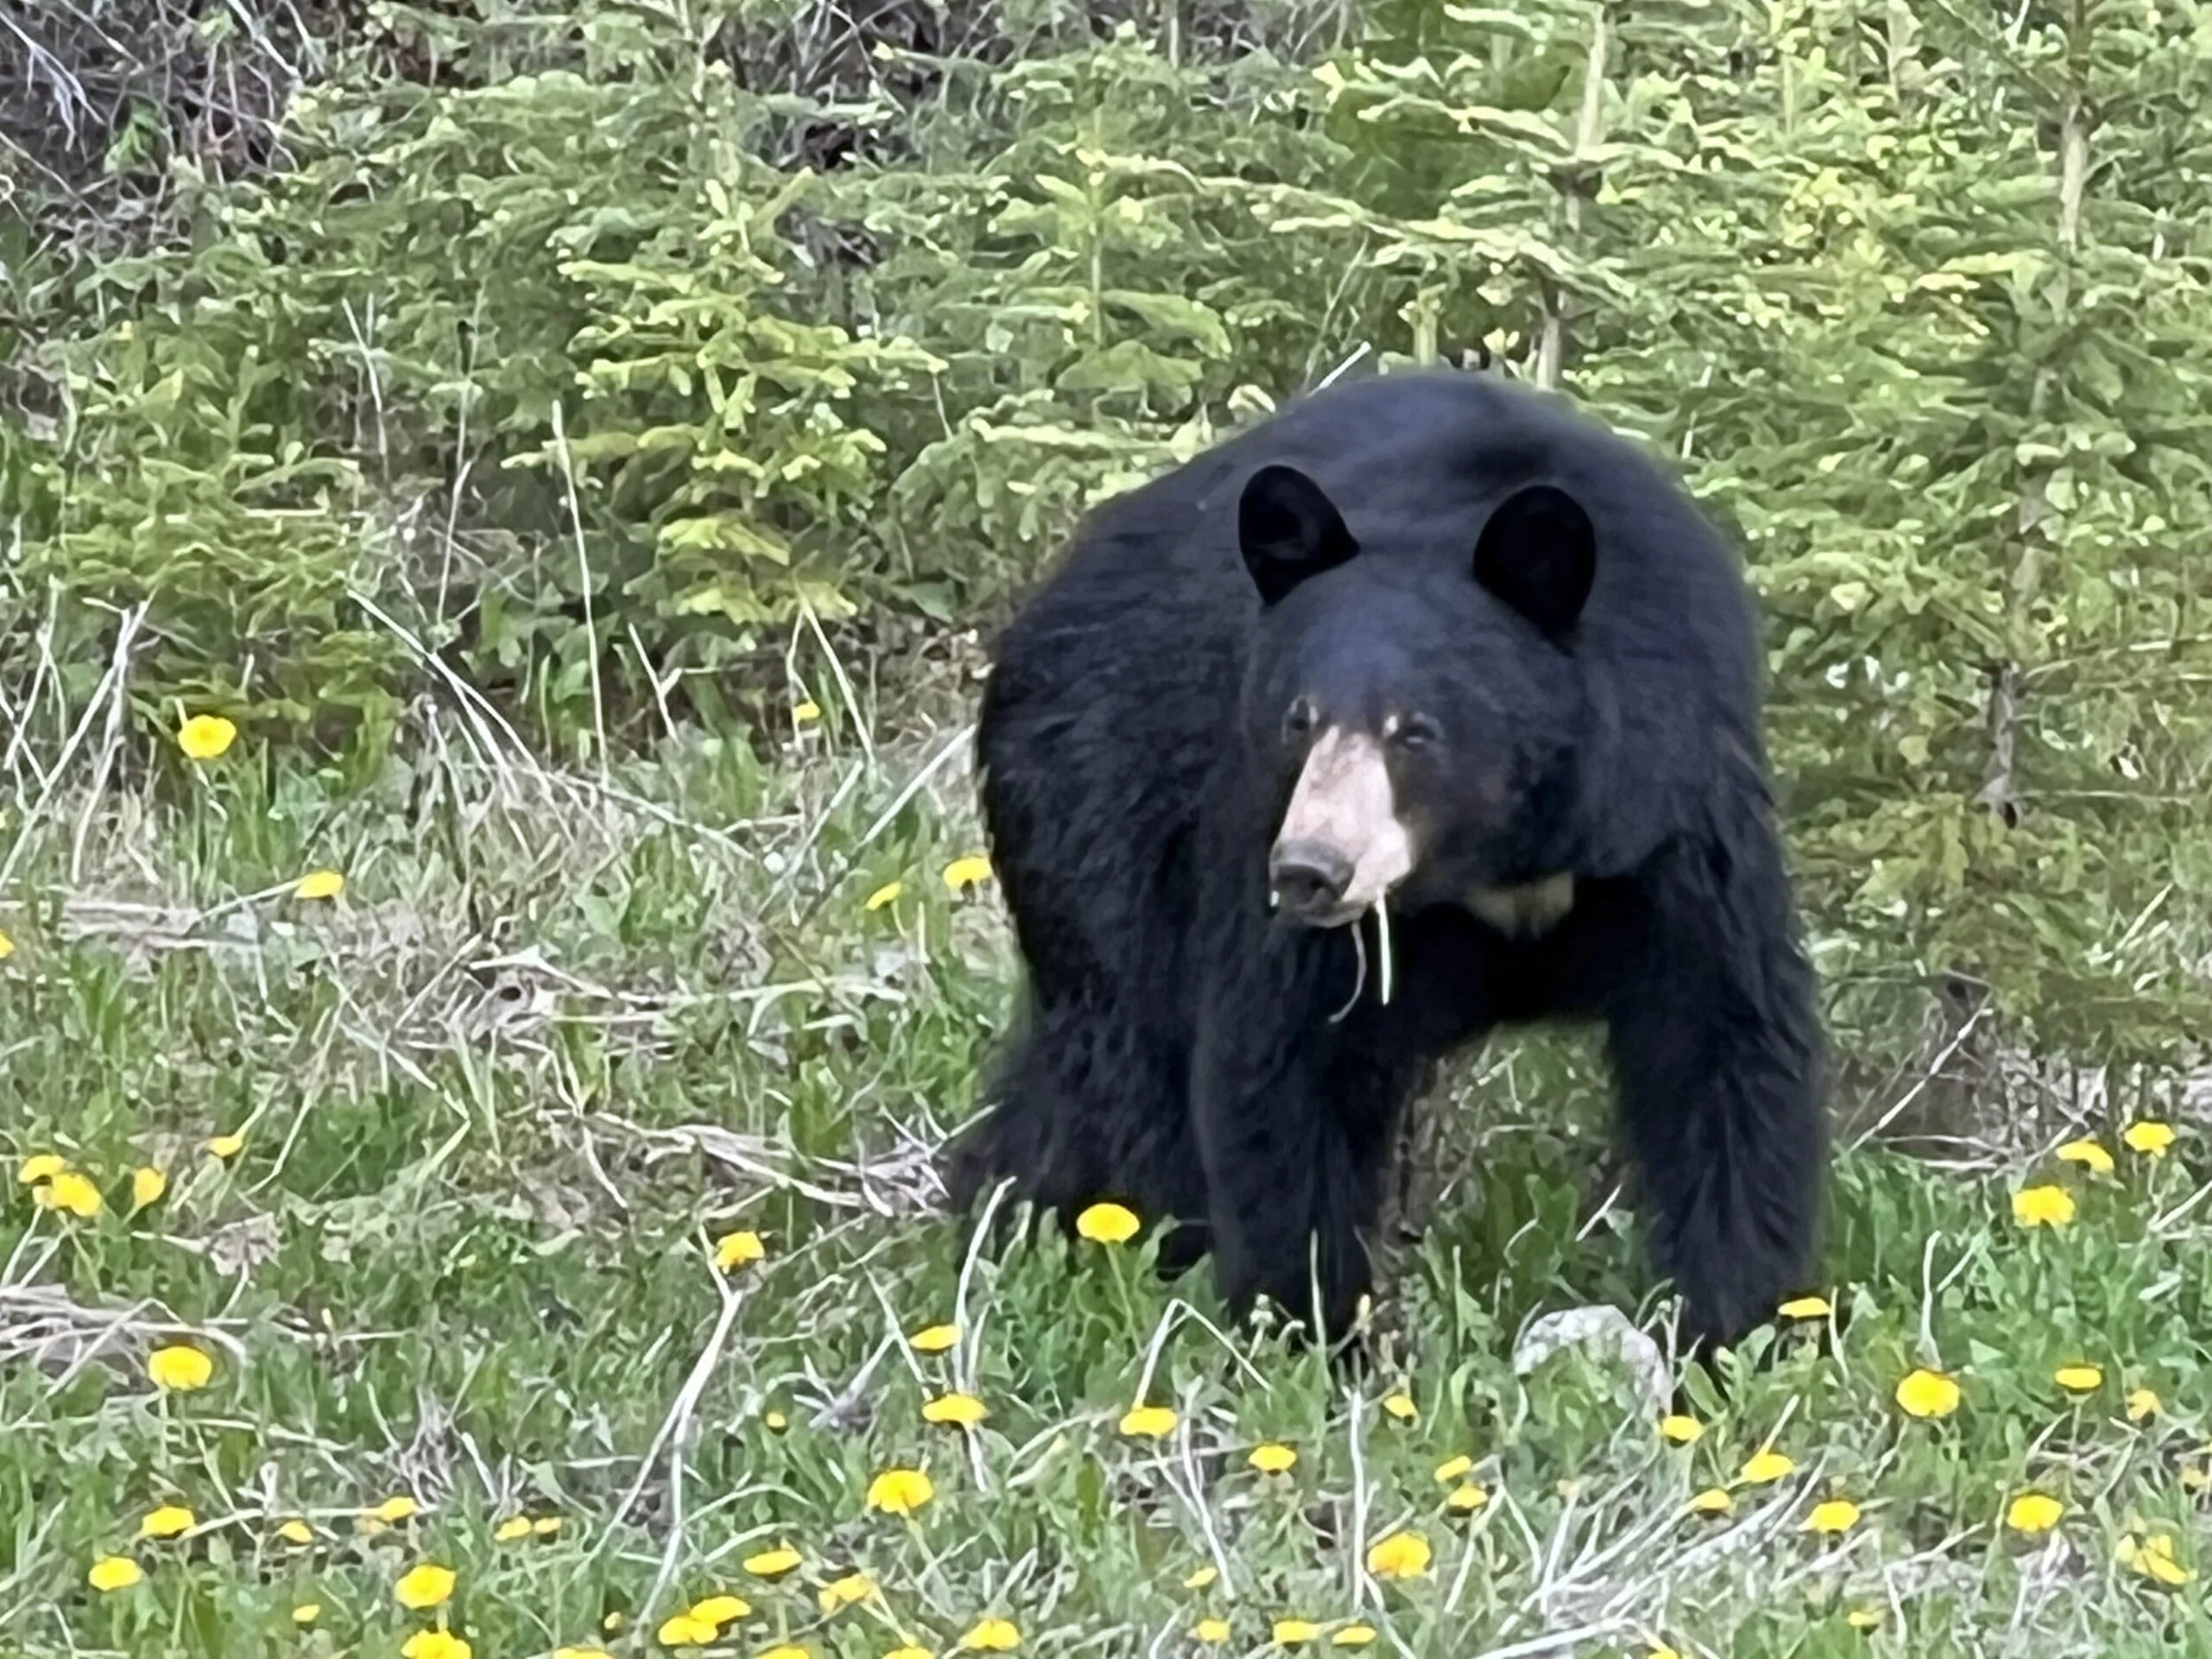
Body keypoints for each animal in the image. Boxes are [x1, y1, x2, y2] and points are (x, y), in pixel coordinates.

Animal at [943, 366, 1825, 1357]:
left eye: (1416, 731)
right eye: (1299, 717)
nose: (1310, 869)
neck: (1505, 860)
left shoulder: (1670, 828)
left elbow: (1723, 1044)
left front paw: (1738, 1325)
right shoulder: (1266, 845)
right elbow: (1282, 1067)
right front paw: (1313, 1332)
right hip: (1095, 808)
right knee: (1119, 1060)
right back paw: (1044, 1230)